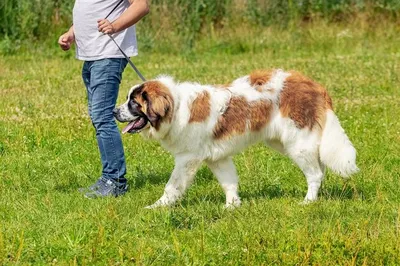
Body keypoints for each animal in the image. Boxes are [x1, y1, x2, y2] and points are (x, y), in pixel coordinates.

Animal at [113, 69, 360, 209]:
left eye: (133, 103)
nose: (114, 112)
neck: (176, 106)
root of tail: (315, 85)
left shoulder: (187, 159)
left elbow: (172, 186)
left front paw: (158, 206)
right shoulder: (217, 158)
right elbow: (228, 182)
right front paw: (232, 206)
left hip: (297, 143)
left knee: (315, 174)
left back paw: (308, 201)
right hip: (288, 143)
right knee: (319, 167)